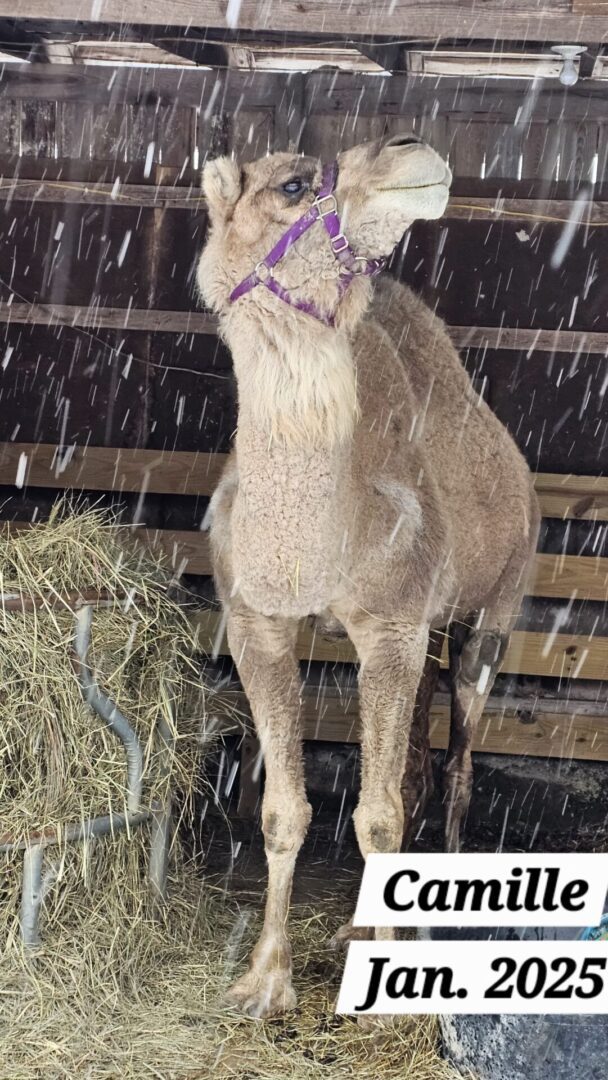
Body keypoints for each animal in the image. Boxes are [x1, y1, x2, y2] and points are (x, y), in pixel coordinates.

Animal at [197, 133, 540, 1019]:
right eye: (292, 183)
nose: (411, 151)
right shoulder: (257, 624)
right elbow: (284, 810)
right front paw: (265, 980)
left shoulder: (390, 626)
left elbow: (378, 816)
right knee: (418, 757)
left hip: (497, 606)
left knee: (456, 763)